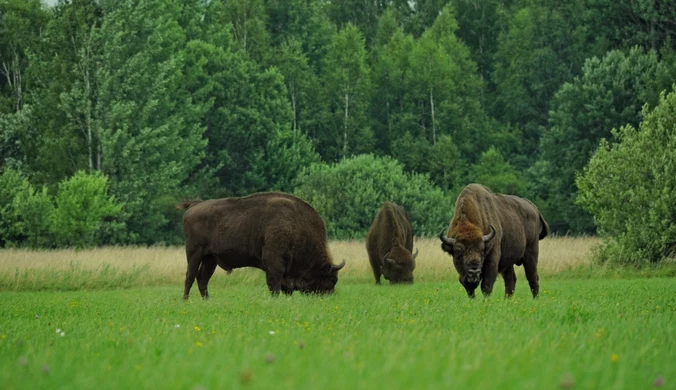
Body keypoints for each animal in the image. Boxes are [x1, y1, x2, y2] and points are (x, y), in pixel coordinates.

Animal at [177, 192, 346, 298]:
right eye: (331, 280)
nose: (329, 295)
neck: (297, 226)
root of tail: (194, 205)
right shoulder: (274, 263)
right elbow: (274, 284)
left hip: (210, 259)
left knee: (202, 279)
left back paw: (207, 299)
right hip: (194, 254)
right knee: (190, 276)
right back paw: (186, 300)